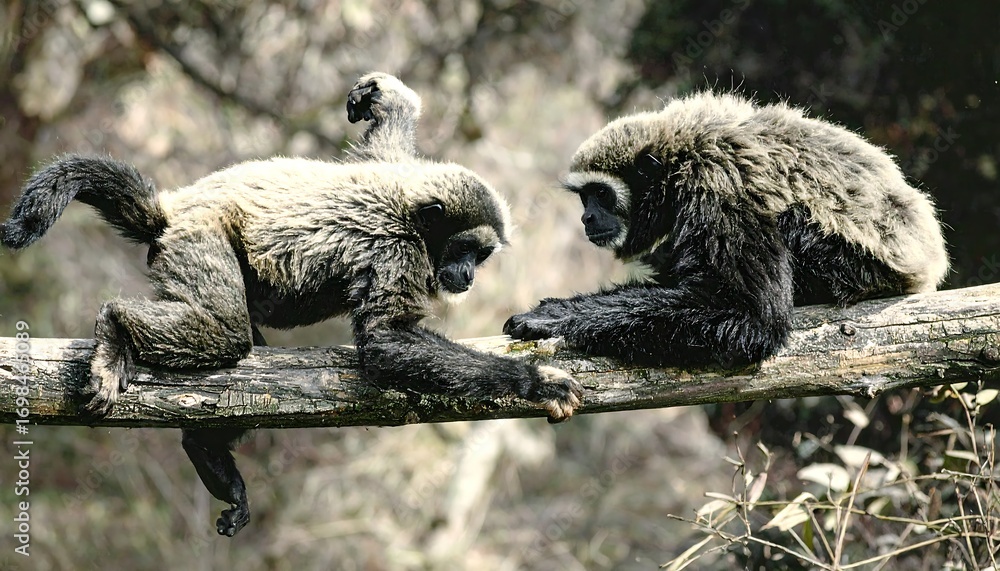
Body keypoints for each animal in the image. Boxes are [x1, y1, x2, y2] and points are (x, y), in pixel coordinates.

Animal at [0, 72, 582, 536]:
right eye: (463, 250)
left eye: (479, 256)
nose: (466, 275)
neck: (414, 216)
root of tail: (171, 210)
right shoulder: (398, 246)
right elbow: (386, 342)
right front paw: (532, 381)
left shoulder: (393, 172)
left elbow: (384, 140)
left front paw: (385, 96)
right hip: (199, 238)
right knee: (225, 331)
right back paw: (116, 327)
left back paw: (207, 453)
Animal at [505, 91, 948, 367]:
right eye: (585, 198)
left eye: (601, 194)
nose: (587, 218)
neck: (682, 157)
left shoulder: (719, 188)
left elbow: (751, 318)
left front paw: (554, 316)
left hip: (844, 260)